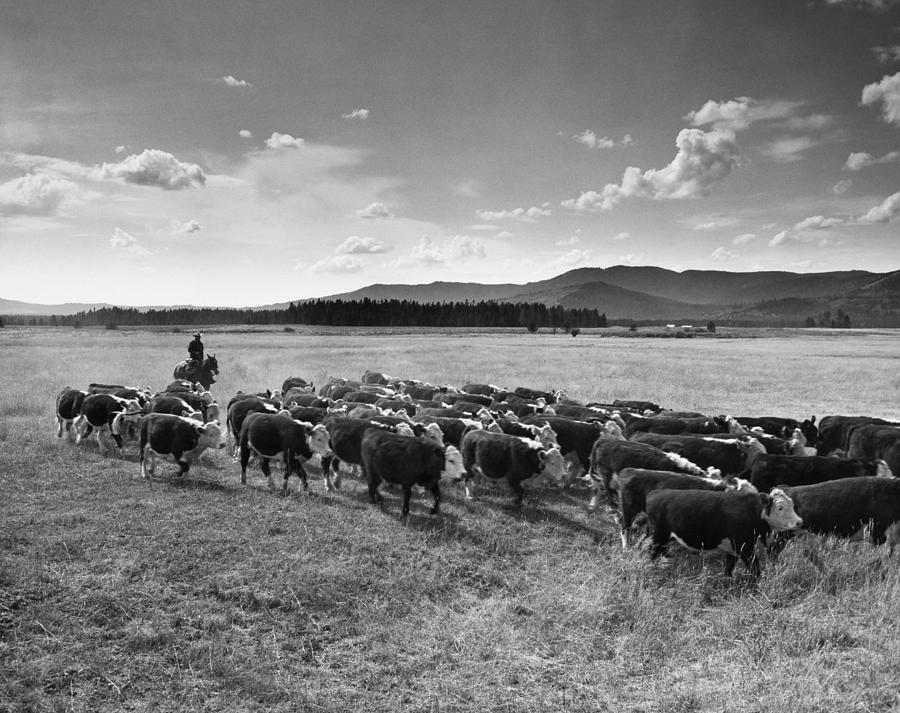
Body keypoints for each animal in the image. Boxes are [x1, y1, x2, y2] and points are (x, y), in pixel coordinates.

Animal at [648, 486, 800, 576]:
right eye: (780, 507)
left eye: (792, 504)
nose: (799, 521)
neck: (752, 512)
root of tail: (656, 492)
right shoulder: (745, 548)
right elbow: (756, 570)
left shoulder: (733, 550)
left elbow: (729, 570)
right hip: (659, 536)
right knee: (652, 552)